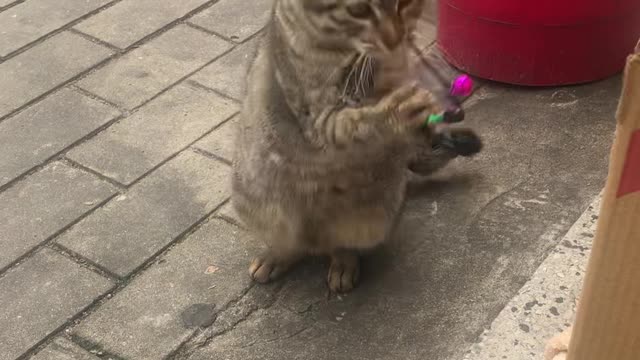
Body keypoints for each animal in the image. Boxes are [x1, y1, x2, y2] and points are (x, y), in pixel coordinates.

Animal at [230, 0, 480, 292]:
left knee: (340, 244)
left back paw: (342, 263)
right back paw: (276, 256)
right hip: (255, 201)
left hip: (373, 217)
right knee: (293, 243)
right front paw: (397, 113)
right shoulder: (314, 114)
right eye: (359, 10)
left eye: (404, 4)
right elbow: (351, 122)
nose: (393, 38)